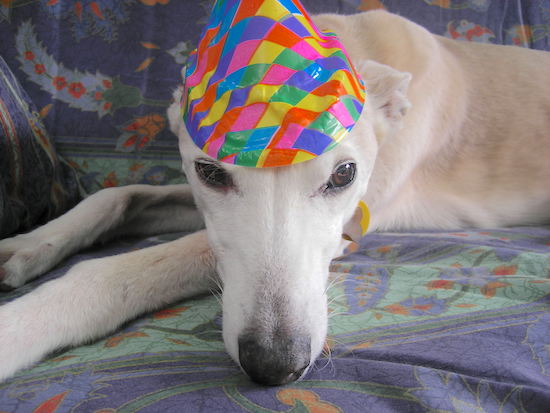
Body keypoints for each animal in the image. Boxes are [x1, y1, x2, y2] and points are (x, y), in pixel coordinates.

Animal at [1, 8, 550, 384]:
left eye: (345, 174)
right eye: (209, 171)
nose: (274, 365)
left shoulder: (350, 225)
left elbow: (117, 269)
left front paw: (19, 327)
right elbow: (117, 195)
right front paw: (27, 246)